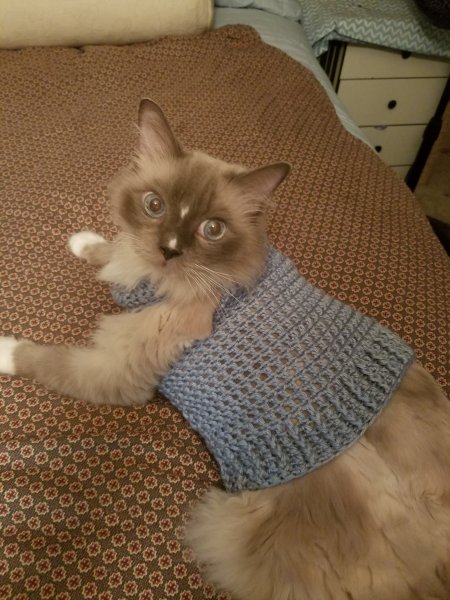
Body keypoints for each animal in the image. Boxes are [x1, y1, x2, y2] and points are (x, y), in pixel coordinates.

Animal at [1, 100, 449, 600]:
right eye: (154, 206)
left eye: (211, 229)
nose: (169, 250)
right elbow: (112, 248)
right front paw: (84, 243)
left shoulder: (116, 370)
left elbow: (44, 358)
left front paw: (4, 347)